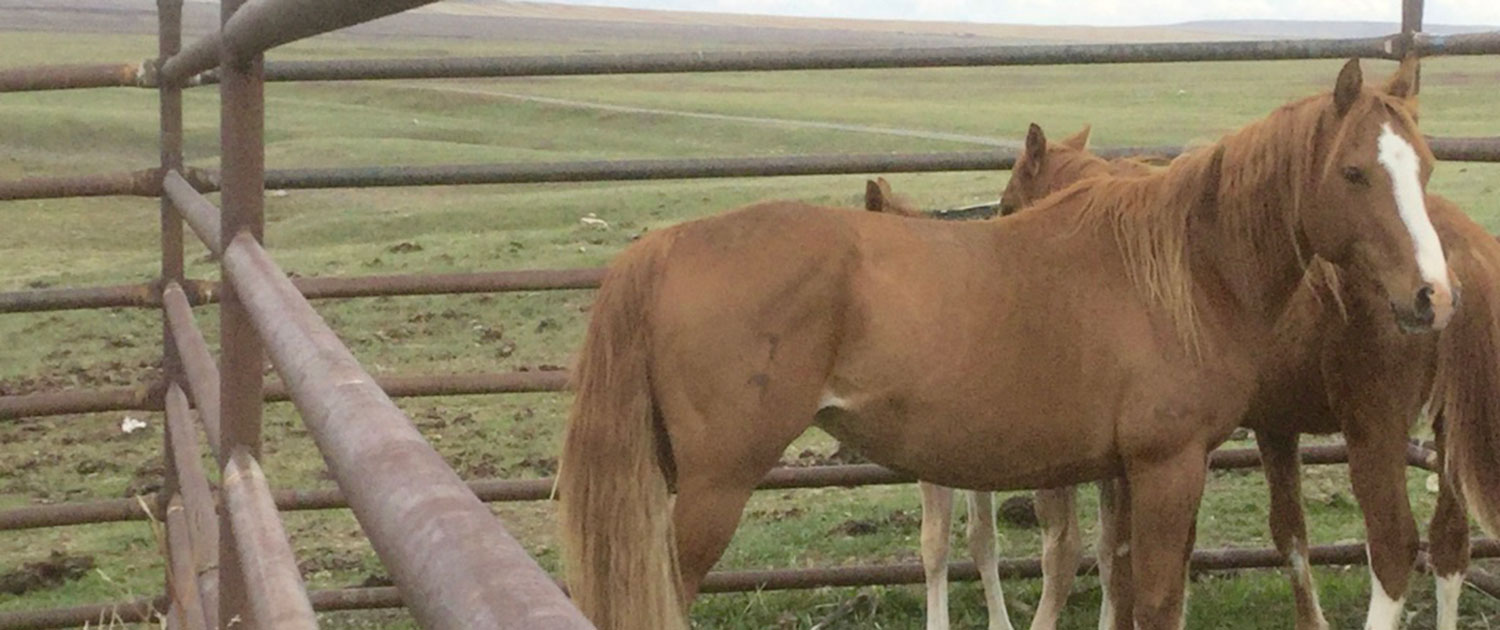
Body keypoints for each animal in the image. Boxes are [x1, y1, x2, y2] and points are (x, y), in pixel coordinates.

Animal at [561, 59, 1452, 630]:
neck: (1184, 269)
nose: (1432, 297)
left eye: (1427, 168)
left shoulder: (1122, 473)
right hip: (713, 489)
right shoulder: (1166, 467)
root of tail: (664, 247)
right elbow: (1154, 602)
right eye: (1353, 173)